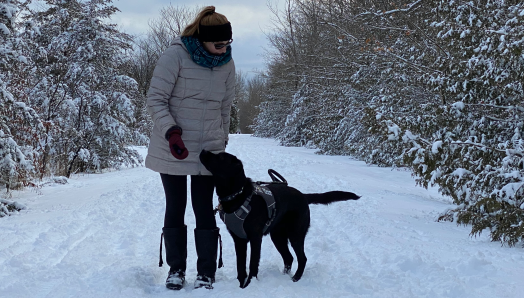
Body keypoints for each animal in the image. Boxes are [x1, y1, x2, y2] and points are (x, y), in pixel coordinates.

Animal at [198, 150, 360, 288]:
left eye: (220, 157)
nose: (203, 150)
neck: (237, 195)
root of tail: (303, 196)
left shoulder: (255, 237)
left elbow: (252, 264)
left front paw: (250, 285)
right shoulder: (239, 239)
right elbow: (241, 267)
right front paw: (241, 286)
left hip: (295, 234)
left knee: (302, 258)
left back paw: (295, 278)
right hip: (278, 236)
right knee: (289, 258)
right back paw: (284, 276)